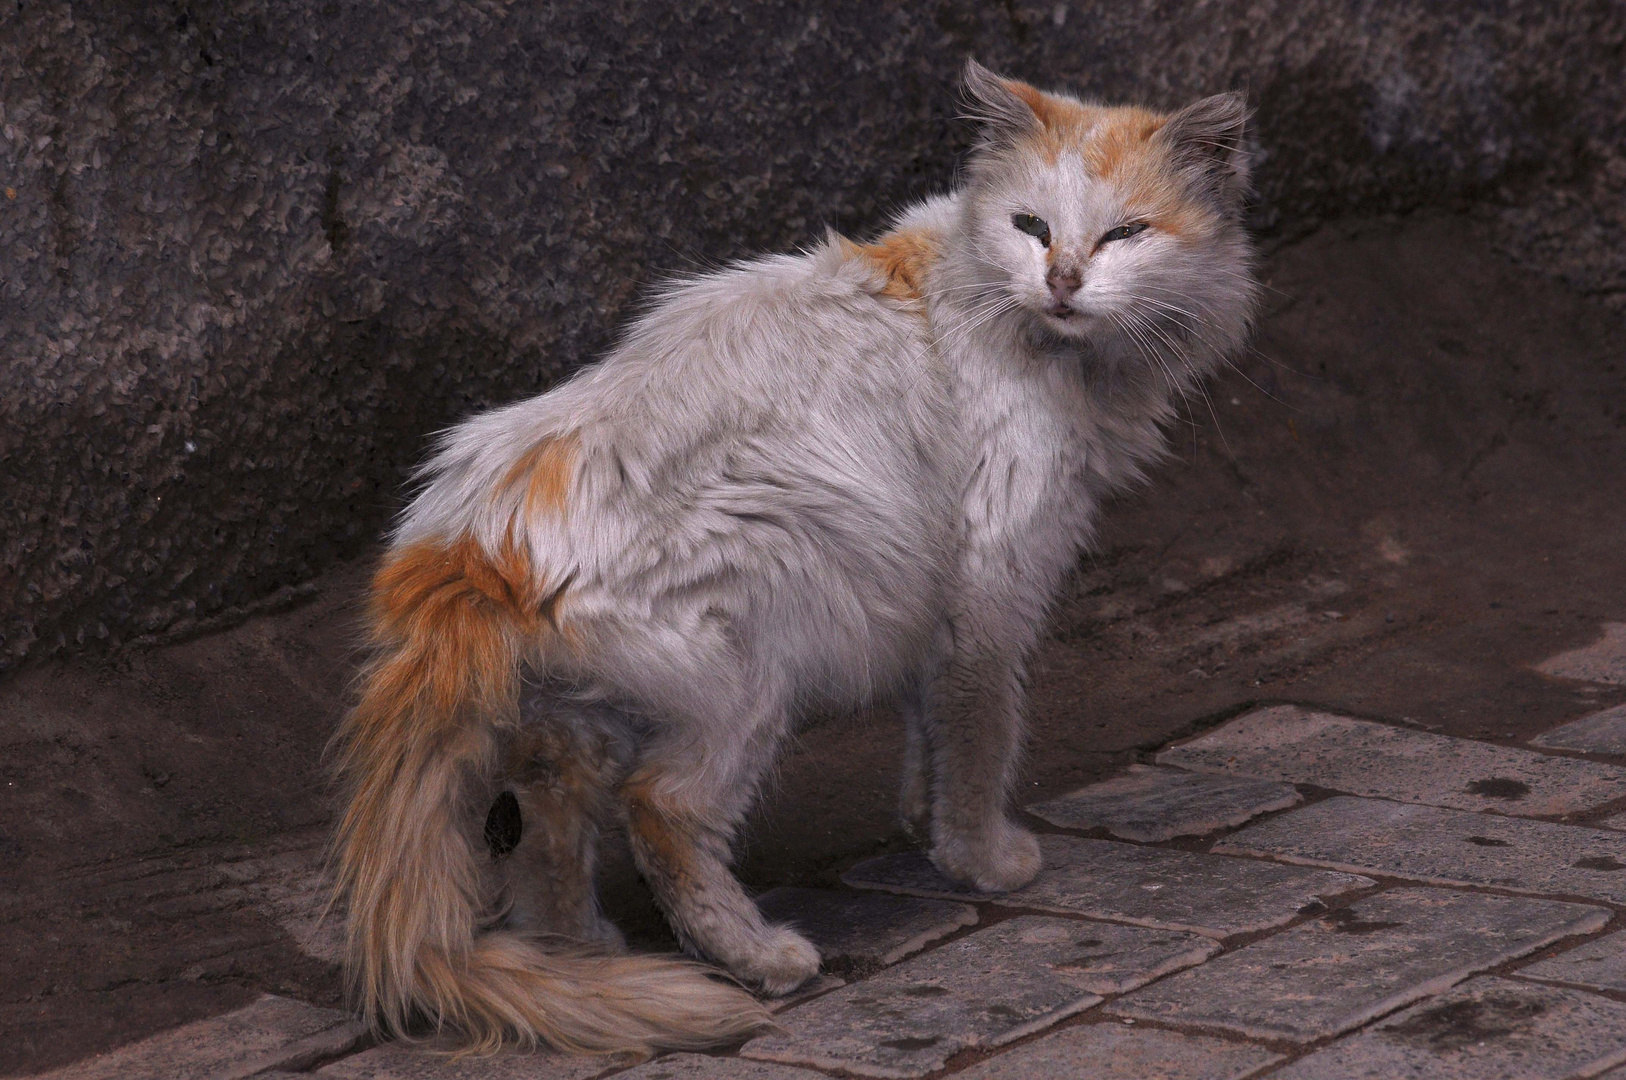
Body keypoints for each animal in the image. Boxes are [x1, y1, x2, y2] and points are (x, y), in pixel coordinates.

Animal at [330, 60, 1255, 1053]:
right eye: (1032, 227)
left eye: (1125, 234)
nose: (1063, 280)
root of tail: (468, 541)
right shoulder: (989, 591)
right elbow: (983, 735)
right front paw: (981, 859)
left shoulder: (937, 612)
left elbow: (931, 731)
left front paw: (922, 827)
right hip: (752, 667)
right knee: (664, 812)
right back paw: (760, 959)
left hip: (576, 719)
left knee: (549, 824)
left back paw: (585, 958)